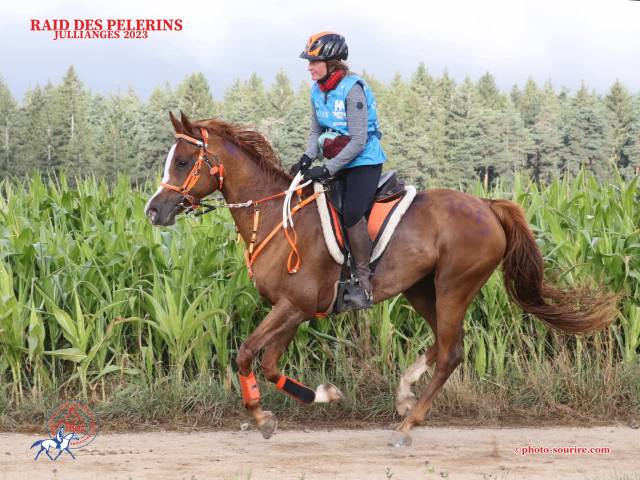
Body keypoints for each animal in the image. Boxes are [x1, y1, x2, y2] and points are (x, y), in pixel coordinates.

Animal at [144, 111, 618, 447]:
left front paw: (262, 416)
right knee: (445, 344)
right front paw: (322, 396)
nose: (153, 210)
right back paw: (405, 395)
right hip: (420, 289)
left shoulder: (293, 306)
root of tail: (487, 205)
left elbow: (245, 354)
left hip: (453, 286)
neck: (275, 214)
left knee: (451, 352)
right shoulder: (293, 310)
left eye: (183, 161)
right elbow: (270, 362)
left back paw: (408, 424)